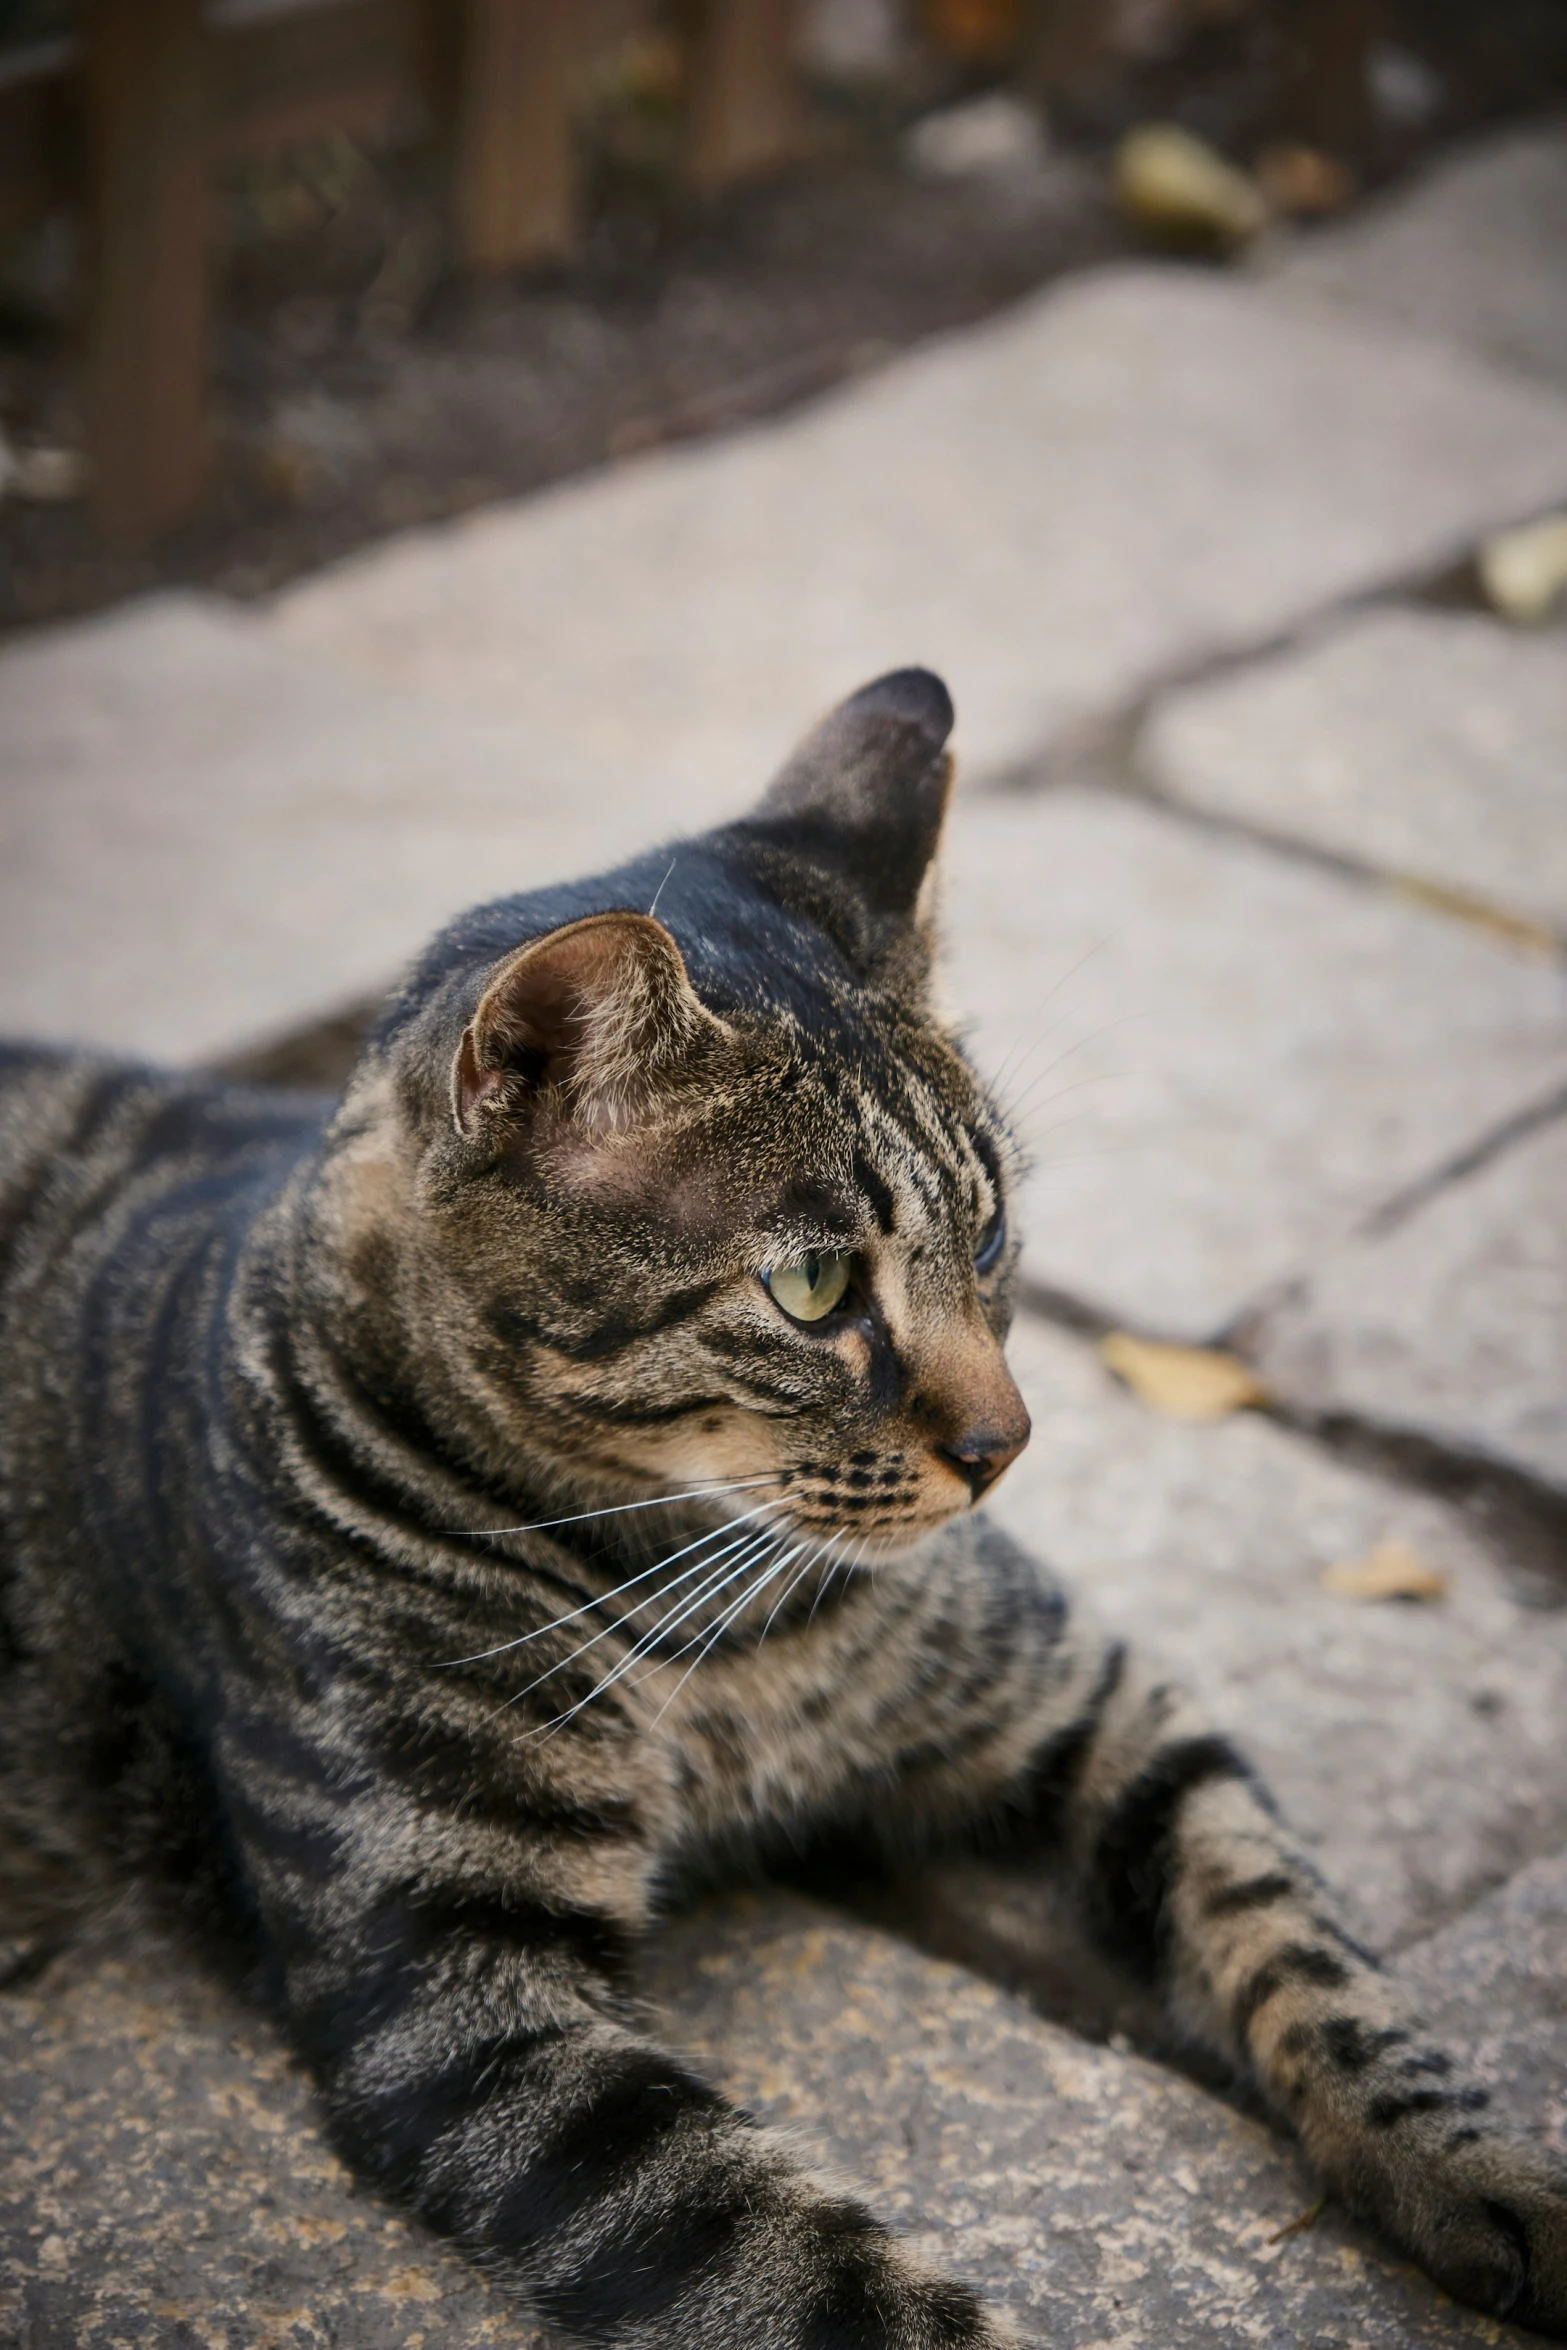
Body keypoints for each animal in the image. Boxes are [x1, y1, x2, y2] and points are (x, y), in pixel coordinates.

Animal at [3, 672, 1567, 2340]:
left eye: (990, 1230)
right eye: (812, 1286)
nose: (1007, 1444)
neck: (711, 1615)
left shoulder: (1096, 1698)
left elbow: (1296, 1933)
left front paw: (1479, 2171)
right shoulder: (458, 1995)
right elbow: (788, 2256)